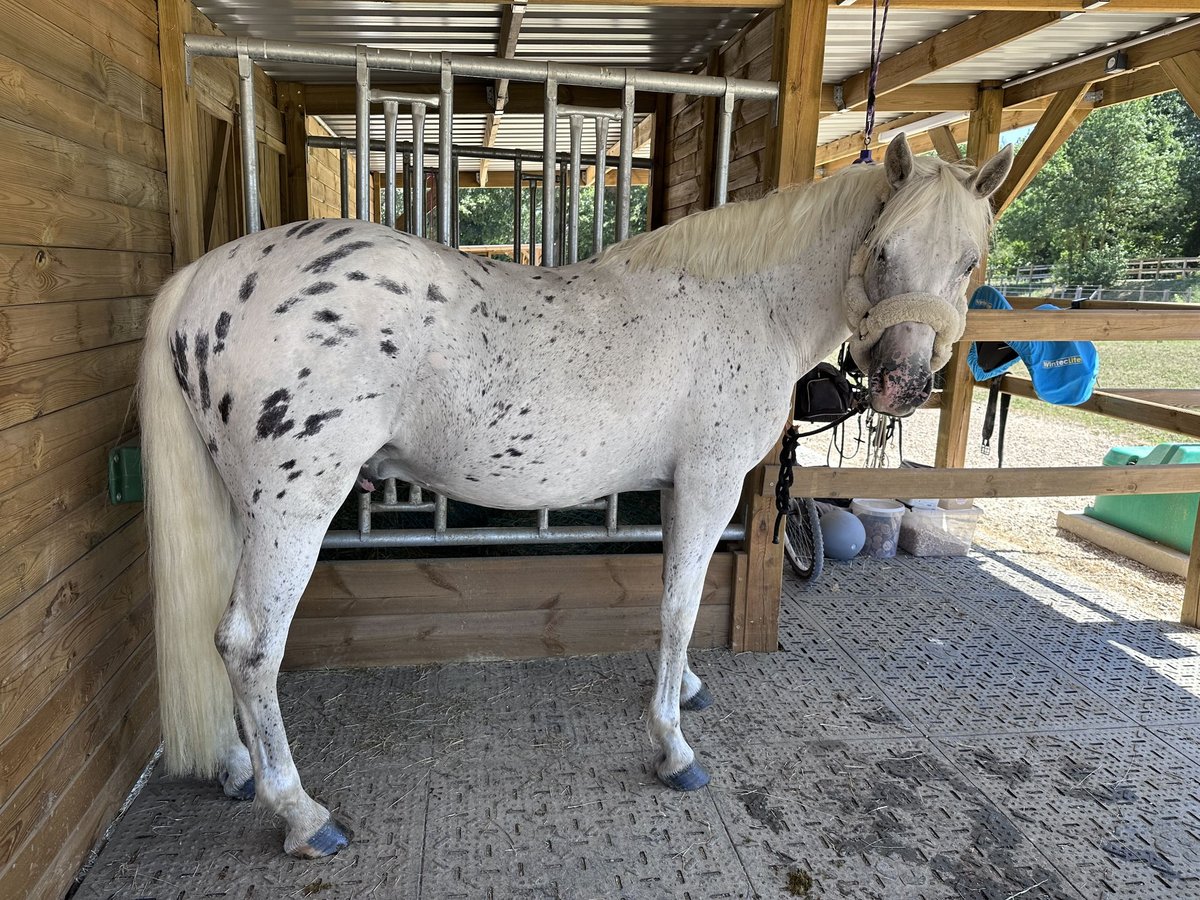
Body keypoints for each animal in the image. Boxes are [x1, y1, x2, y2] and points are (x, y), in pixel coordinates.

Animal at [140, 135, 1012, 859]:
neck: (745, 304)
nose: (903, 383)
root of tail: (203, 279)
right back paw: (301, 814)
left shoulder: (676, 488)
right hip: (295, 506)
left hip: (243, 506)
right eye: (884, 250)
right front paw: (673, 749)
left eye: (970, 261)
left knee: (214, 630)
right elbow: (681, 607)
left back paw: (237, 769)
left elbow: (670, 599)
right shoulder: (710, 481)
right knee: (251, 644)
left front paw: (682, 691)